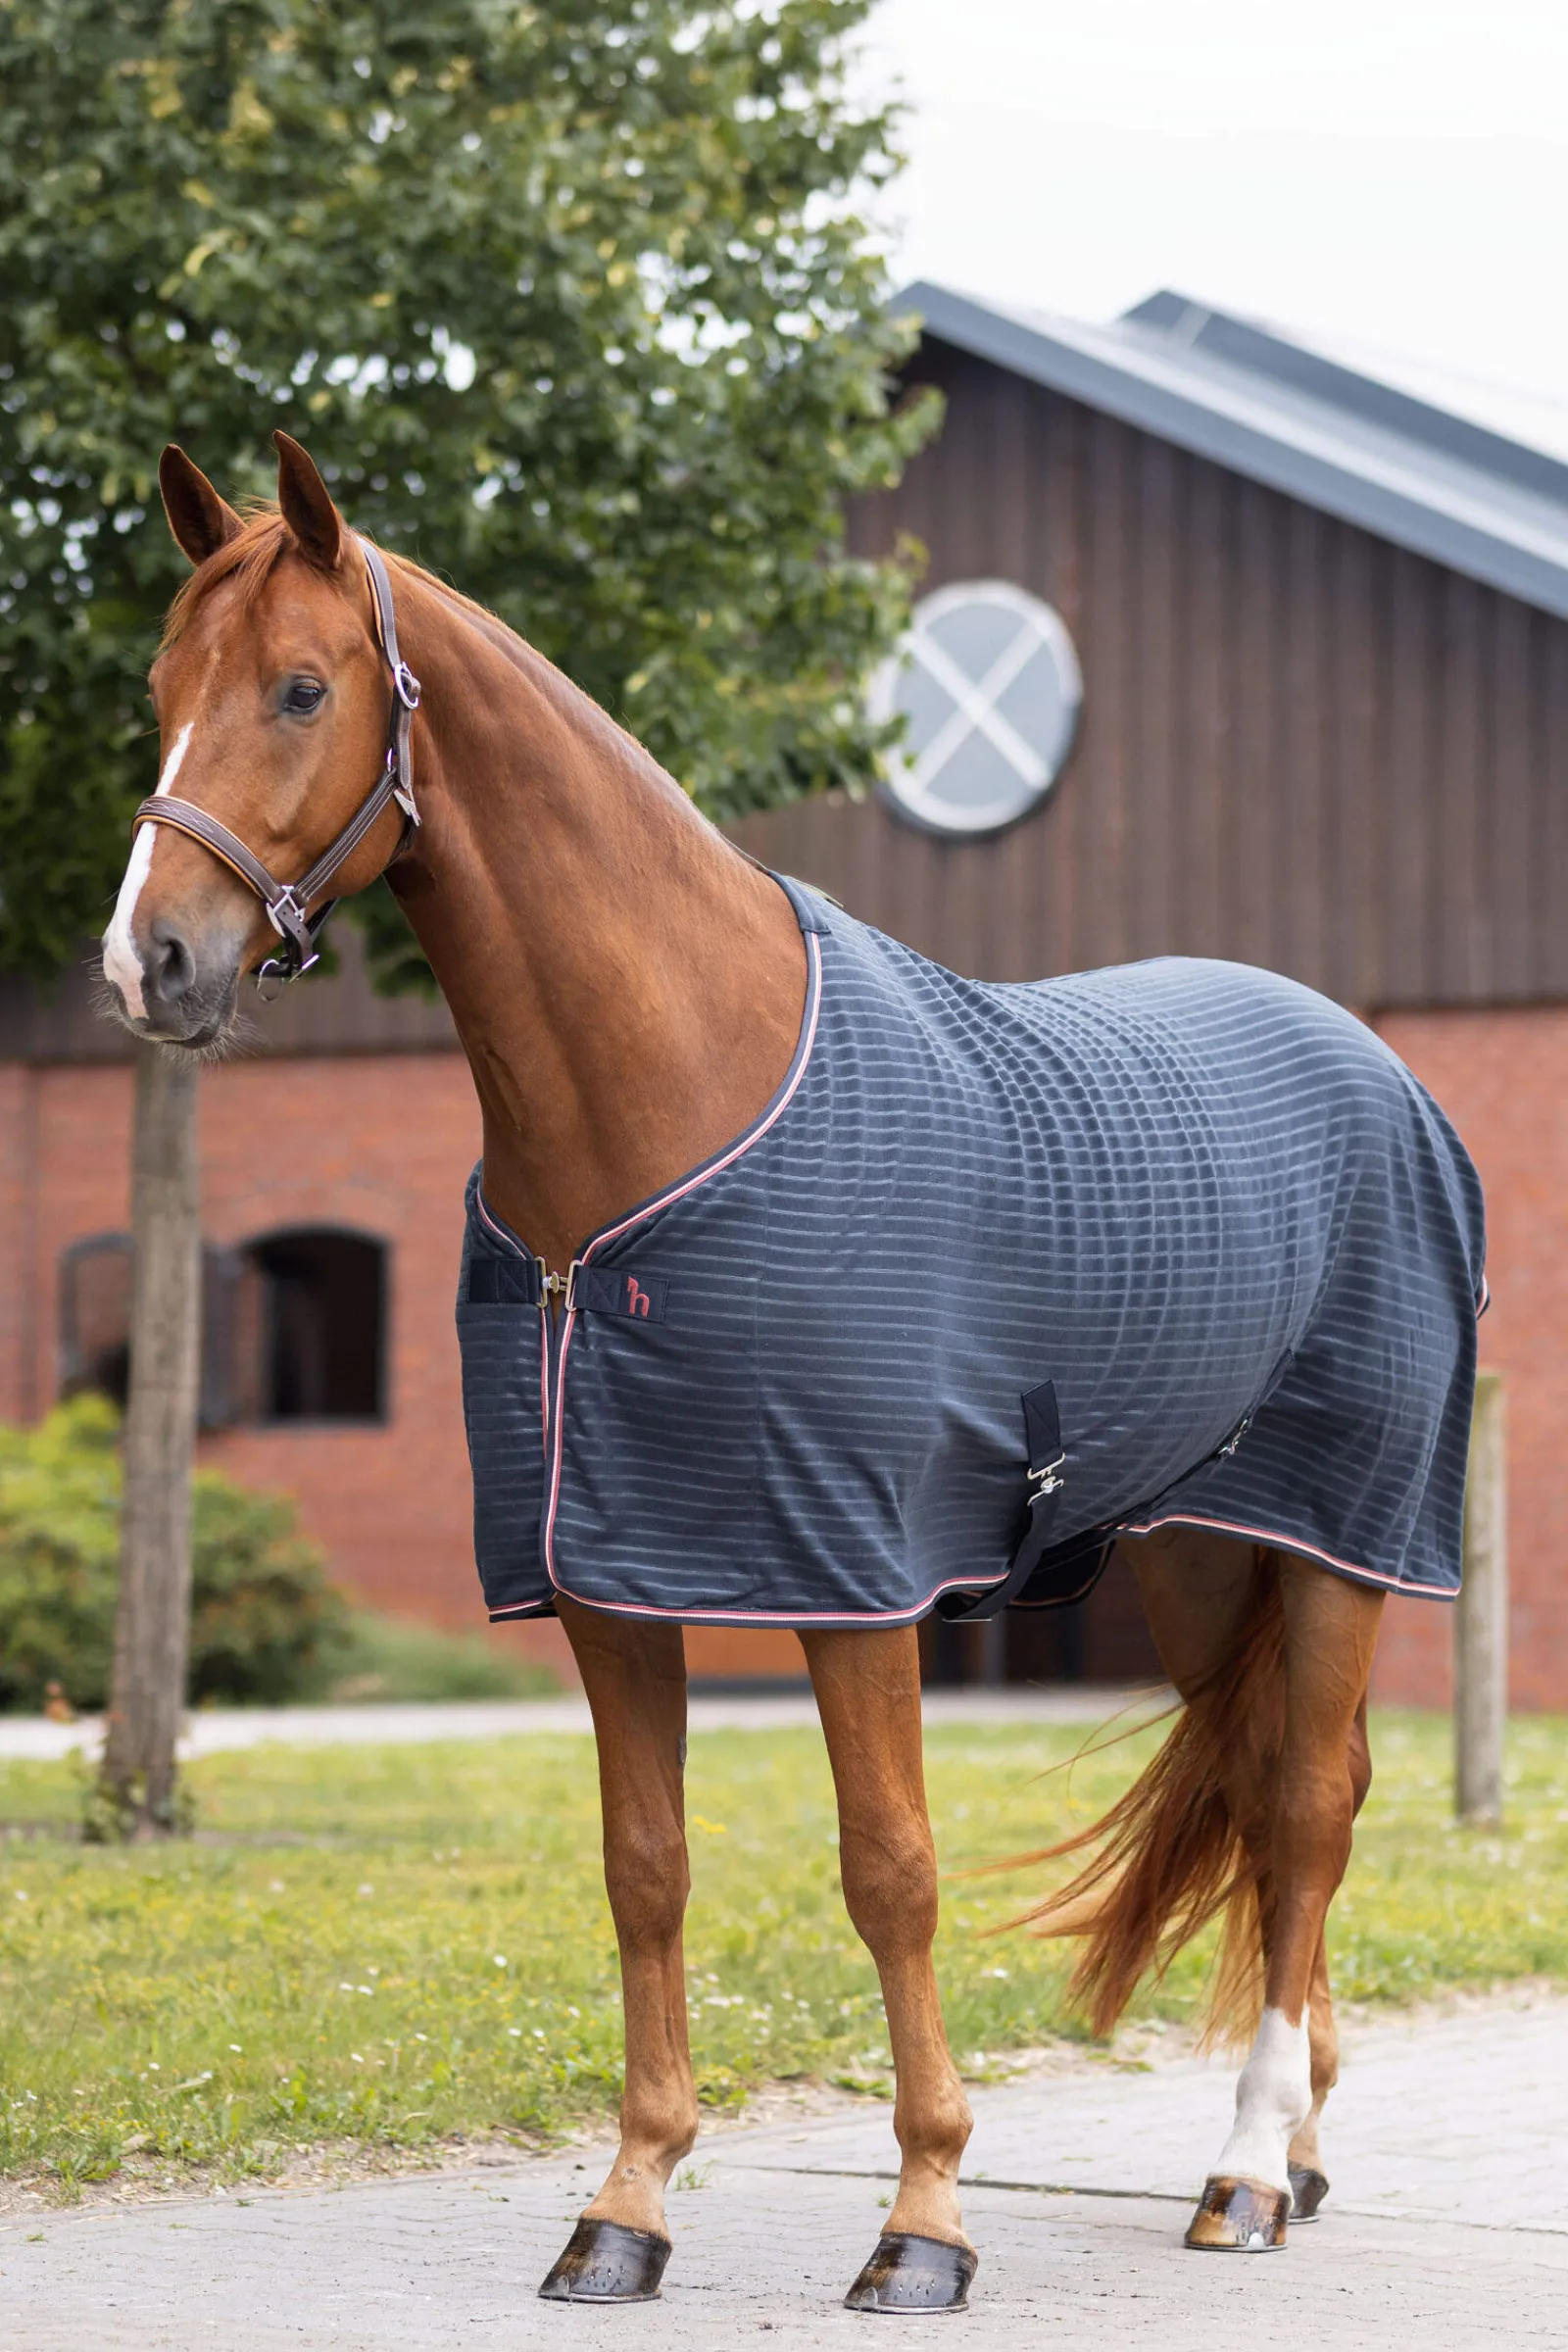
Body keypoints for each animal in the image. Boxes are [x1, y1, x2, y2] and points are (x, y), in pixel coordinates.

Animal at [100, 433, 1486, 2312]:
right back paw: (1299, 2148)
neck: (674, 1095)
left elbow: (891, 1872)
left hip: (1345, 1540)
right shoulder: (605, 1576)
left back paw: (1251, 2169)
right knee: (1278, 1815)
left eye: (304, 687)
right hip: (1210, 1565)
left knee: (1310, 1809)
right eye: (160, 689)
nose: (146, 963)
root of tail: (1380, 1069)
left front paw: (927, 2220)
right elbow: (646, 1871)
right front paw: (625, 2204)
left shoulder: (851, 1577)